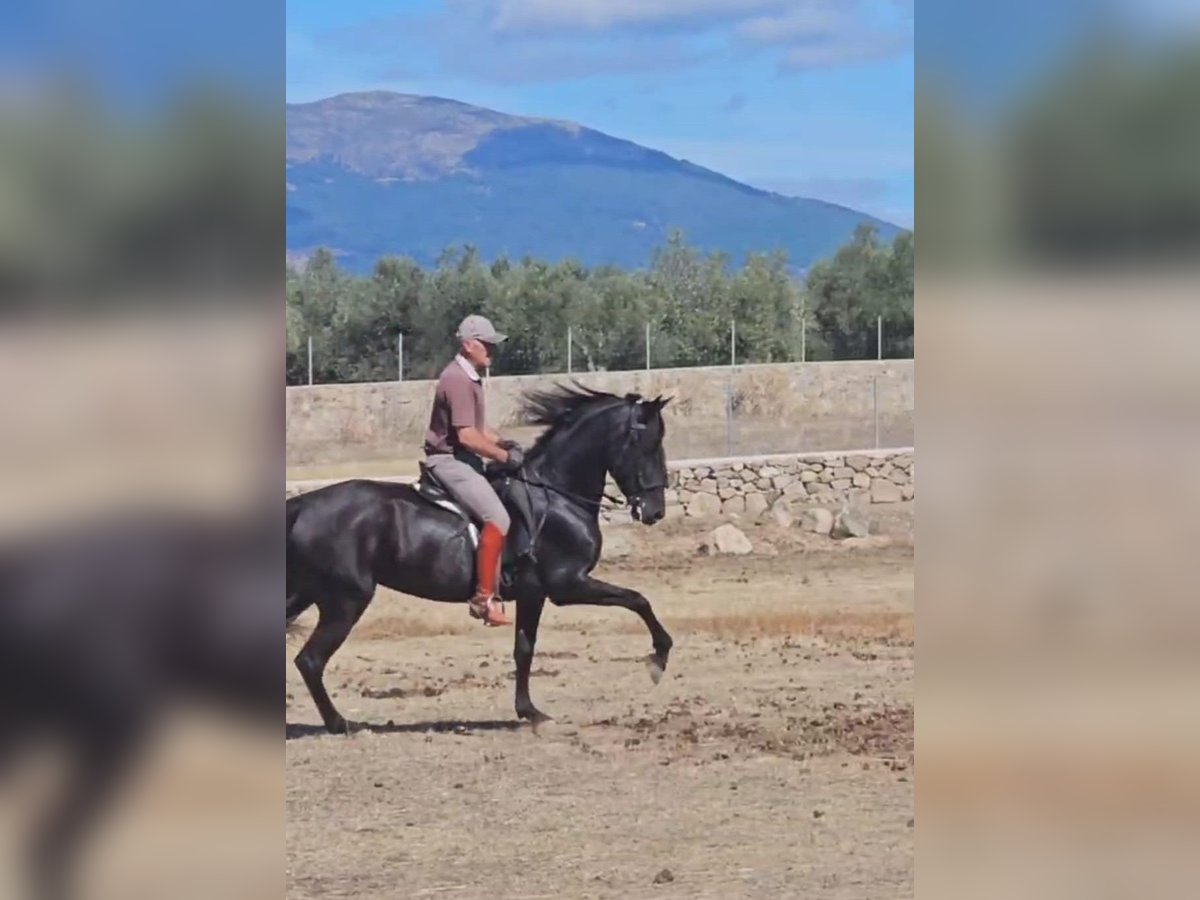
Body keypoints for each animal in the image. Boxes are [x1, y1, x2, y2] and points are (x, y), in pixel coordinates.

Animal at [285, 384, 672, 734]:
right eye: (649, 443)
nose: (655, 512)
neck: (556, 496)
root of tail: (304, 503)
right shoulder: (567, 585)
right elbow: (637, 599)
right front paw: (659, 657)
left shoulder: (533, 594)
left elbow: (524, 649)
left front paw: (530, 712)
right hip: (345, 600)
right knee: (311, 660)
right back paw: (342, 724)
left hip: (307, 593)